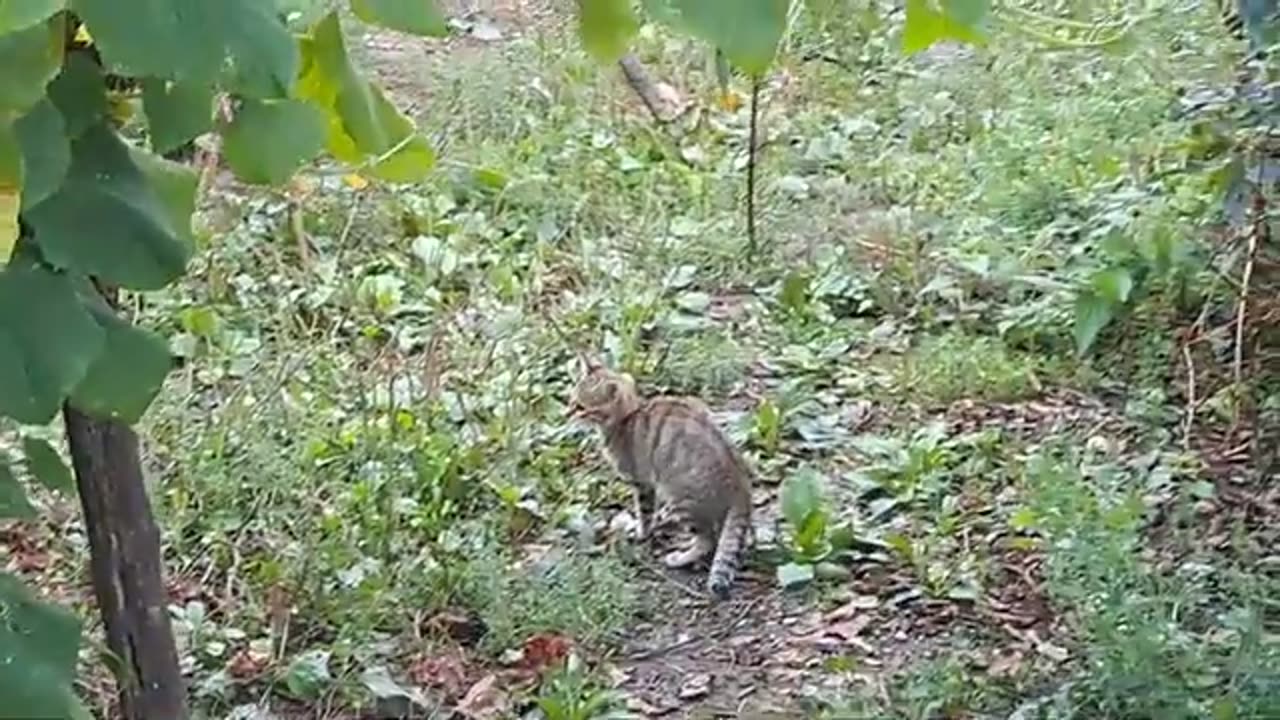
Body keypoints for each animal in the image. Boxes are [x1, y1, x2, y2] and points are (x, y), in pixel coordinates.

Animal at [568, 351, 752, 594]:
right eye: (571, 400)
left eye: (581, 407)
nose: (567, 413)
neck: (628, 416)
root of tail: (740, 483)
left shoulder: (642, 484)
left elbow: (644, 513)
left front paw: (641, 532)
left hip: (681, 500)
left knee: (707, 541)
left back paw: (680, 557)